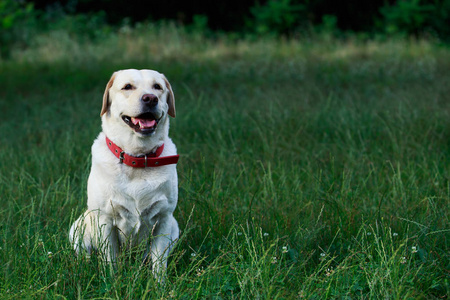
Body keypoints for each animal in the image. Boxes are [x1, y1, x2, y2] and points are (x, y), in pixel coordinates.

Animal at [69, 69, 178, 278]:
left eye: (157, 87)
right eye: (127, 87)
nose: (150, 98)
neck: (137, 158)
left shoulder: (164, 217)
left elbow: (159, 263)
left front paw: (159, 284)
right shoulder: (104, 219)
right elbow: (110, 259)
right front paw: (112, 281)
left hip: (175, 227)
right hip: (78, 227)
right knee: (84, 254)